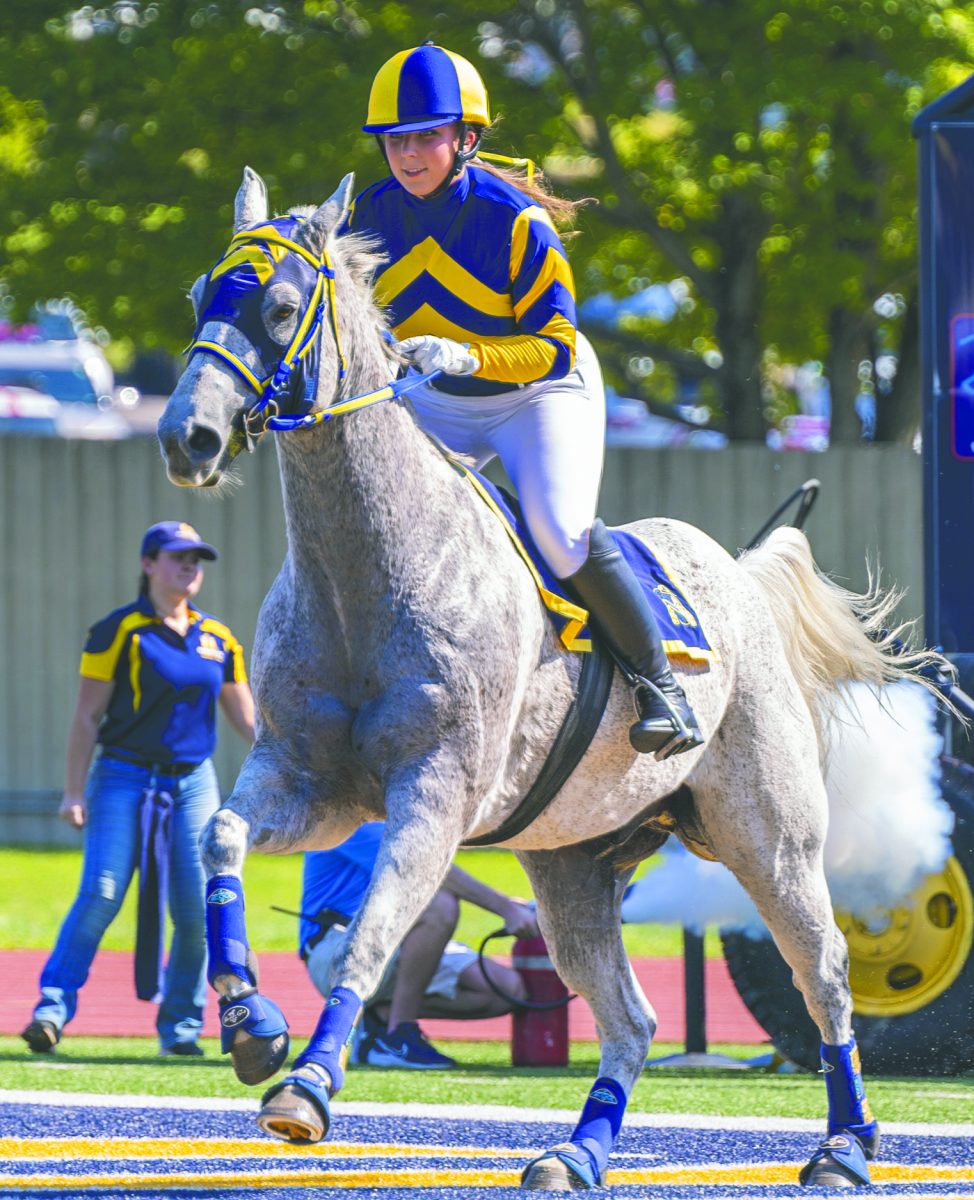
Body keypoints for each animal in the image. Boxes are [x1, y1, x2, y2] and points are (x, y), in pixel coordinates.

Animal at [155, 169, 940, 1190]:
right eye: (198, 298)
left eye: (282, 307)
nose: (189, 436)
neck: (365, 576)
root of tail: (737, 572)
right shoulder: (308, 781)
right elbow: (220, 836)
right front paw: (251, 1021)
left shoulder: (434, 793)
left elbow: (374, 928)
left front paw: (309, 1086)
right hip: (574, 866)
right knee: (632, 1018)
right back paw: (577, 1153)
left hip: (771, 841)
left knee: (826, 976)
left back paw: (845, 1148)